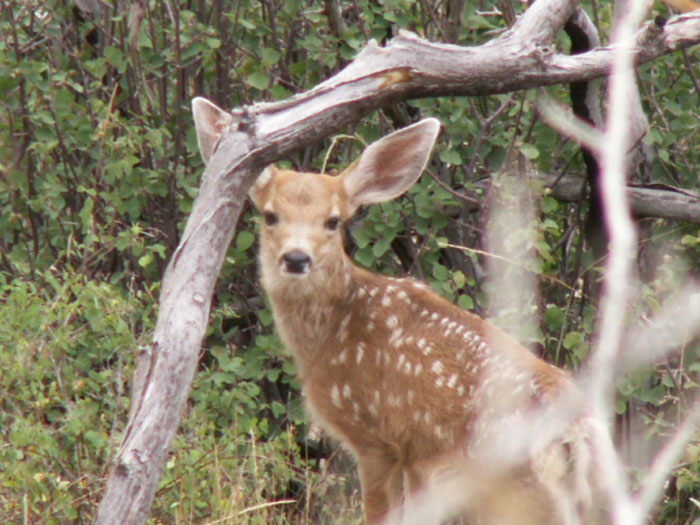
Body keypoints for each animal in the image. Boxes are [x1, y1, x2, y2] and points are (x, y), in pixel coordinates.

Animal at [191, 96, 600, 520]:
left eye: (333, 221)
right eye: (271, 215)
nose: (296, 258)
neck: (328, 334)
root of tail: (573, 436)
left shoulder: (374, 436)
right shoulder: (415, 453)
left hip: (509, 492)